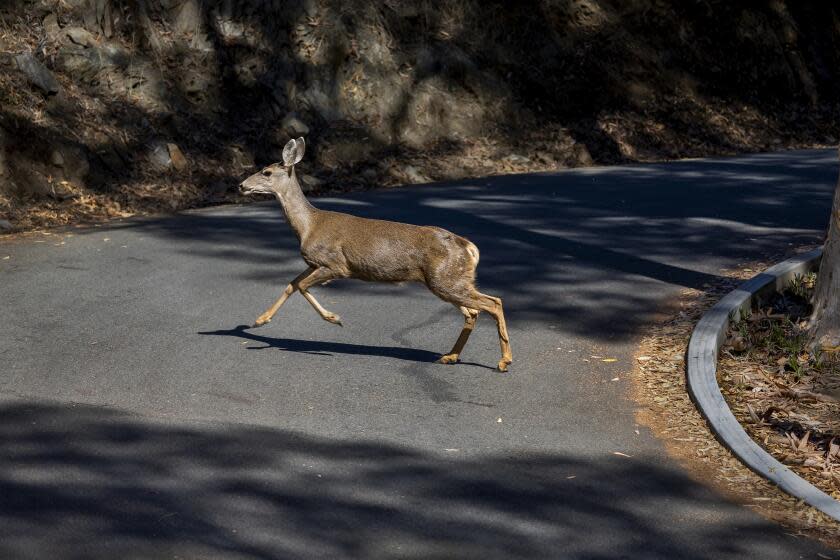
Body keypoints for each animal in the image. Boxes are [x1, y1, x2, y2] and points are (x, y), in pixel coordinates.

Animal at [236, 136, 512, 372]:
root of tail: (469, 247)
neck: (308, 226)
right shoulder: (314, 263)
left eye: (266, 172)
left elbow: (302, 286)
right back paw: (450, 356)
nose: (241, 185)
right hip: (449, 280)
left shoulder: (336, 264)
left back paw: (503, 361)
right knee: (475, 310)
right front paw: (260, 320)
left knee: (492, 303)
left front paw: (334, 318)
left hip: (445, 279)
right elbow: (292, 284)